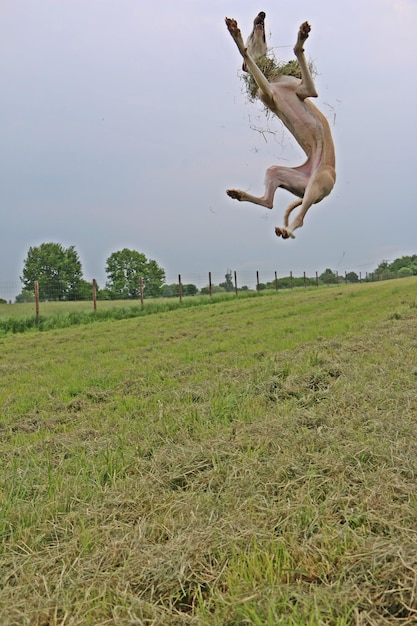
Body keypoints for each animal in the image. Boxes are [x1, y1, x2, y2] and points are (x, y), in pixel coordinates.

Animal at [224, 12, 334, 236]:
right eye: (251, 35)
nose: (261, 14)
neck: (273, 78)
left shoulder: (305, 90)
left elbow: (297, 53)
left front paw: (302, 36)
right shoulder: (269, 93)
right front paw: (236, 36)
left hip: (309, 181)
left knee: (275, 205)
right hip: (305, 178)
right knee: (286, 211)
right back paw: (284, 229)